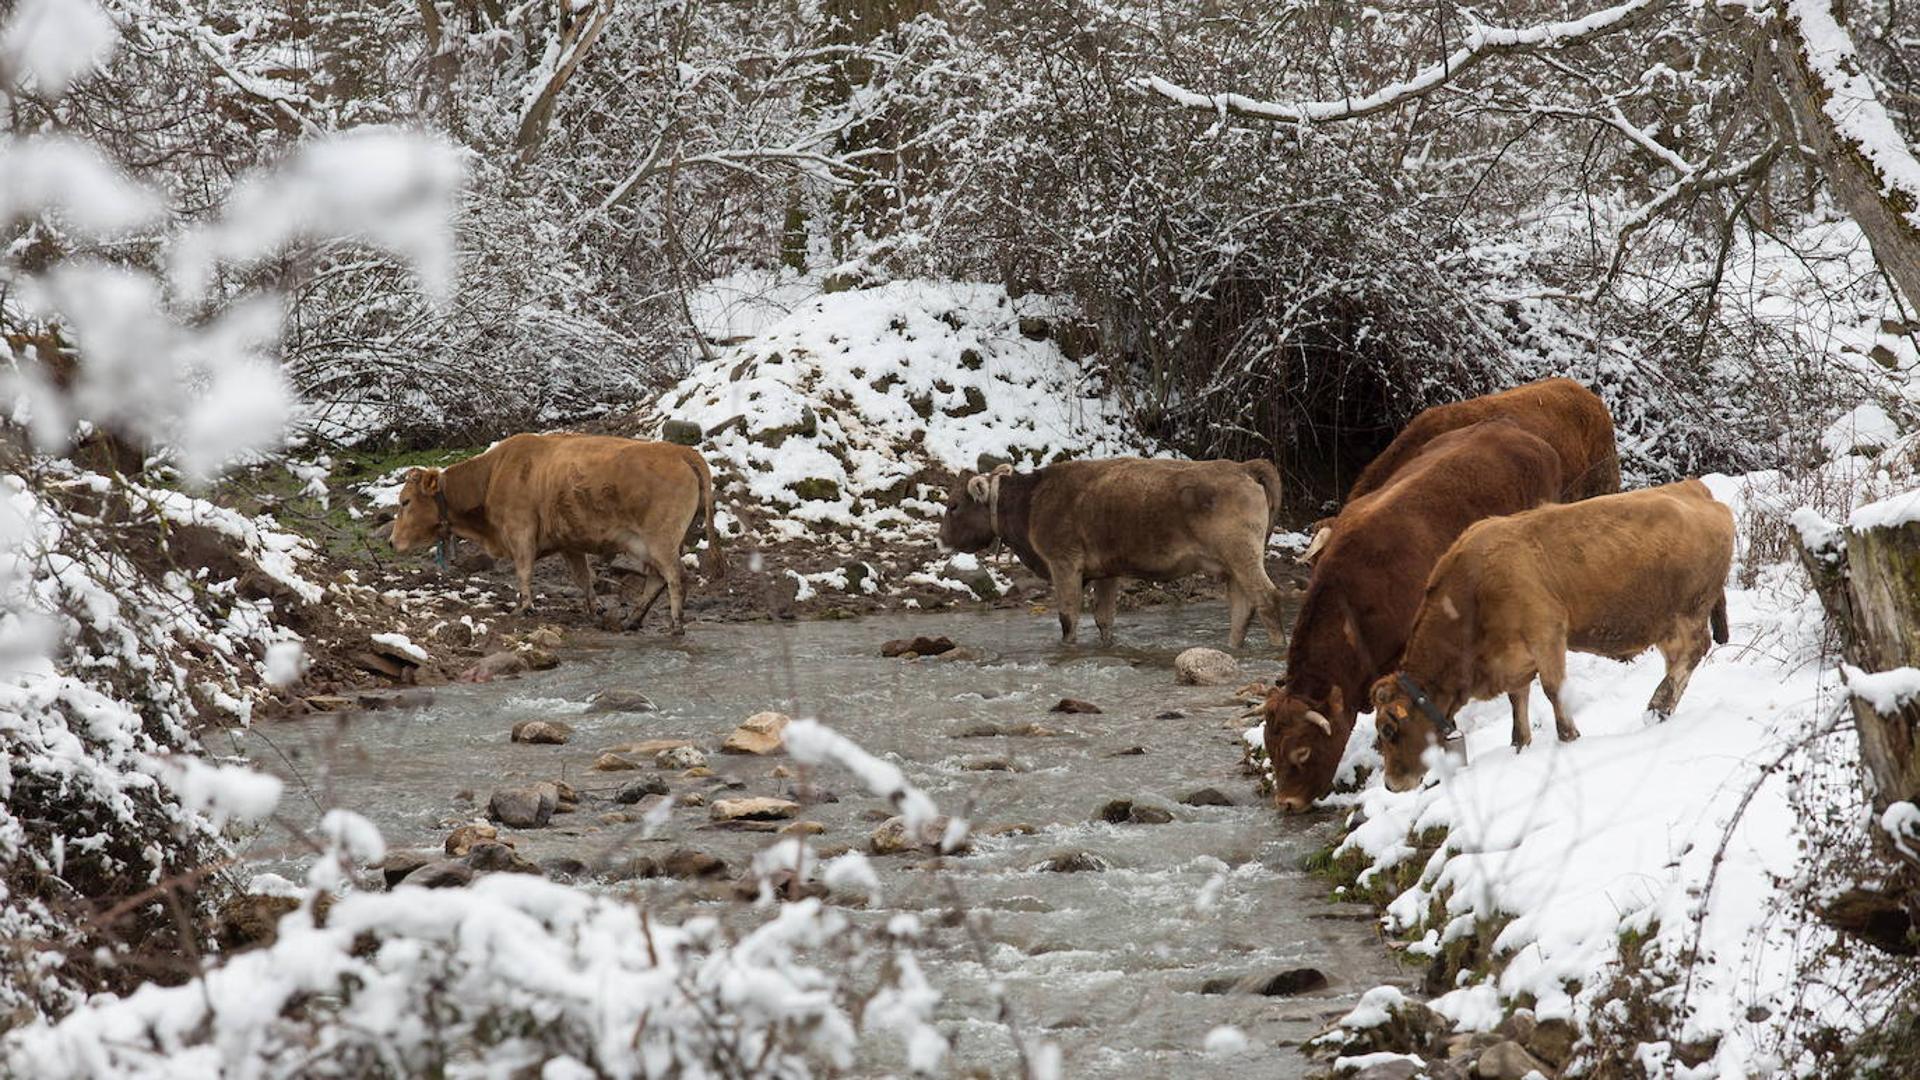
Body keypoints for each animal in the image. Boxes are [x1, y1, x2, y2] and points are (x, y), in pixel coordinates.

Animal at [385, 430, 721, 630]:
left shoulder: (520, 530)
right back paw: (633, 619)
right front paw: (594, 608)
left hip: (661, 539)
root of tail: (680, 450)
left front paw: (524, 606)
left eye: (405, 501)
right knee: (656, 579)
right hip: (653, 543)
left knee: (676, 577)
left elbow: (523, 571)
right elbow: (584, 578)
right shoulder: (569, 543)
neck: (492, 475)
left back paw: (675, 624)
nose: (390, 542)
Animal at [936, 451, 1282, 638]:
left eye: (954, 505)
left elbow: (1068, 619)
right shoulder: (1106, 573)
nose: (940, 541)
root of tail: (1242, 467)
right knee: (1242, 611)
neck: (1031, 499)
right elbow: (1104, 620)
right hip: (1234, 568)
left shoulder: (1064, 565)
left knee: (1267, 599)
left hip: (1242, 557)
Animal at [1367, 474, 1743, 787]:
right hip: (1664, 622)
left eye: (1388, 729)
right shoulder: (1512, 659)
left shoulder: (1547, 635)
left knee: (1695, 650)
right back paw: (1664, 707)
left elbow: (1553, 690)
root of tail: (1694, 488)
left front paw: (1568, 738)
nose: (1391, 784)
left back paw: (1658, 705)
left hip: (1689, 611)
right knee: (1679, 660)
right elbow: (1517, 699)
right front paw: (1519, 745)